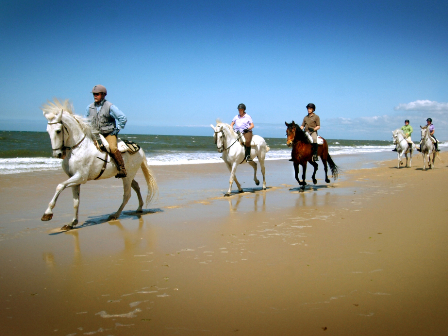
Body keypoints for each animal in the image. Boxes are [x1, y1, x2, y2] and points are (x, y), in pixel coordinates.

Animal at [40, 99, 159, 231]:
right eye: (48, 131)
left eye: (58, 131)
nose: (58, 154)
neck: (78, 147)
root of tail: (140, 150)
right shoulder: (74, 179)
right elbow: (76, 202)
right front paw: (72, 223)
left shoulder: (80, 177)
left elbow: (59, 186)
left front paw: (47, 213)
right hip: (126, 175)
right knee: (136, 186)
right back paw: (139, 208)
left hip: (128, 176)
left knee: (127, 195)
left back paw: (115, 215)